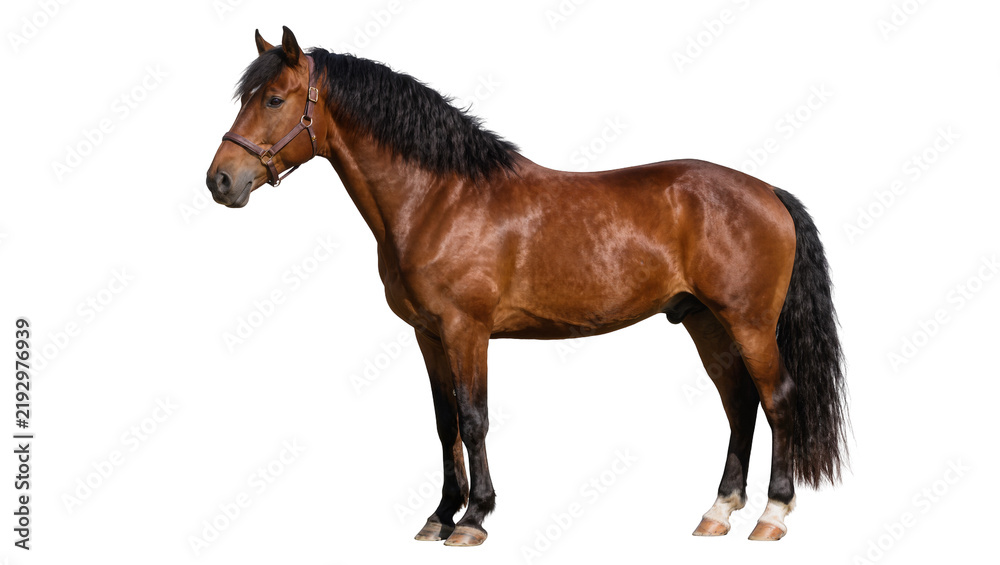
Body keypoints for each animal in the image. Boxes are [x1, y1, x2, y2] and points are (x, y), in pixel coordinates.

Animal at [205, 27, 849, 546]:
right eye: (246, 98)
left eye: (274, 99)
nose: (220, 180)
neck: (440, 198)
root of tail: (768, 192)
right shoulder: (428, 336)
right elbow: (443, 423)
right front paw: (439, 516)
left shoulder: (467, 331)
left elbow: (474, 419)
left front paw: (474, 520)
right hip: (704, 322)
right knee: (739, 403)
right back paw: (717, 512)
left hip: (748, 323)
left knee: (778, 399)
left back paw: (771, 516)